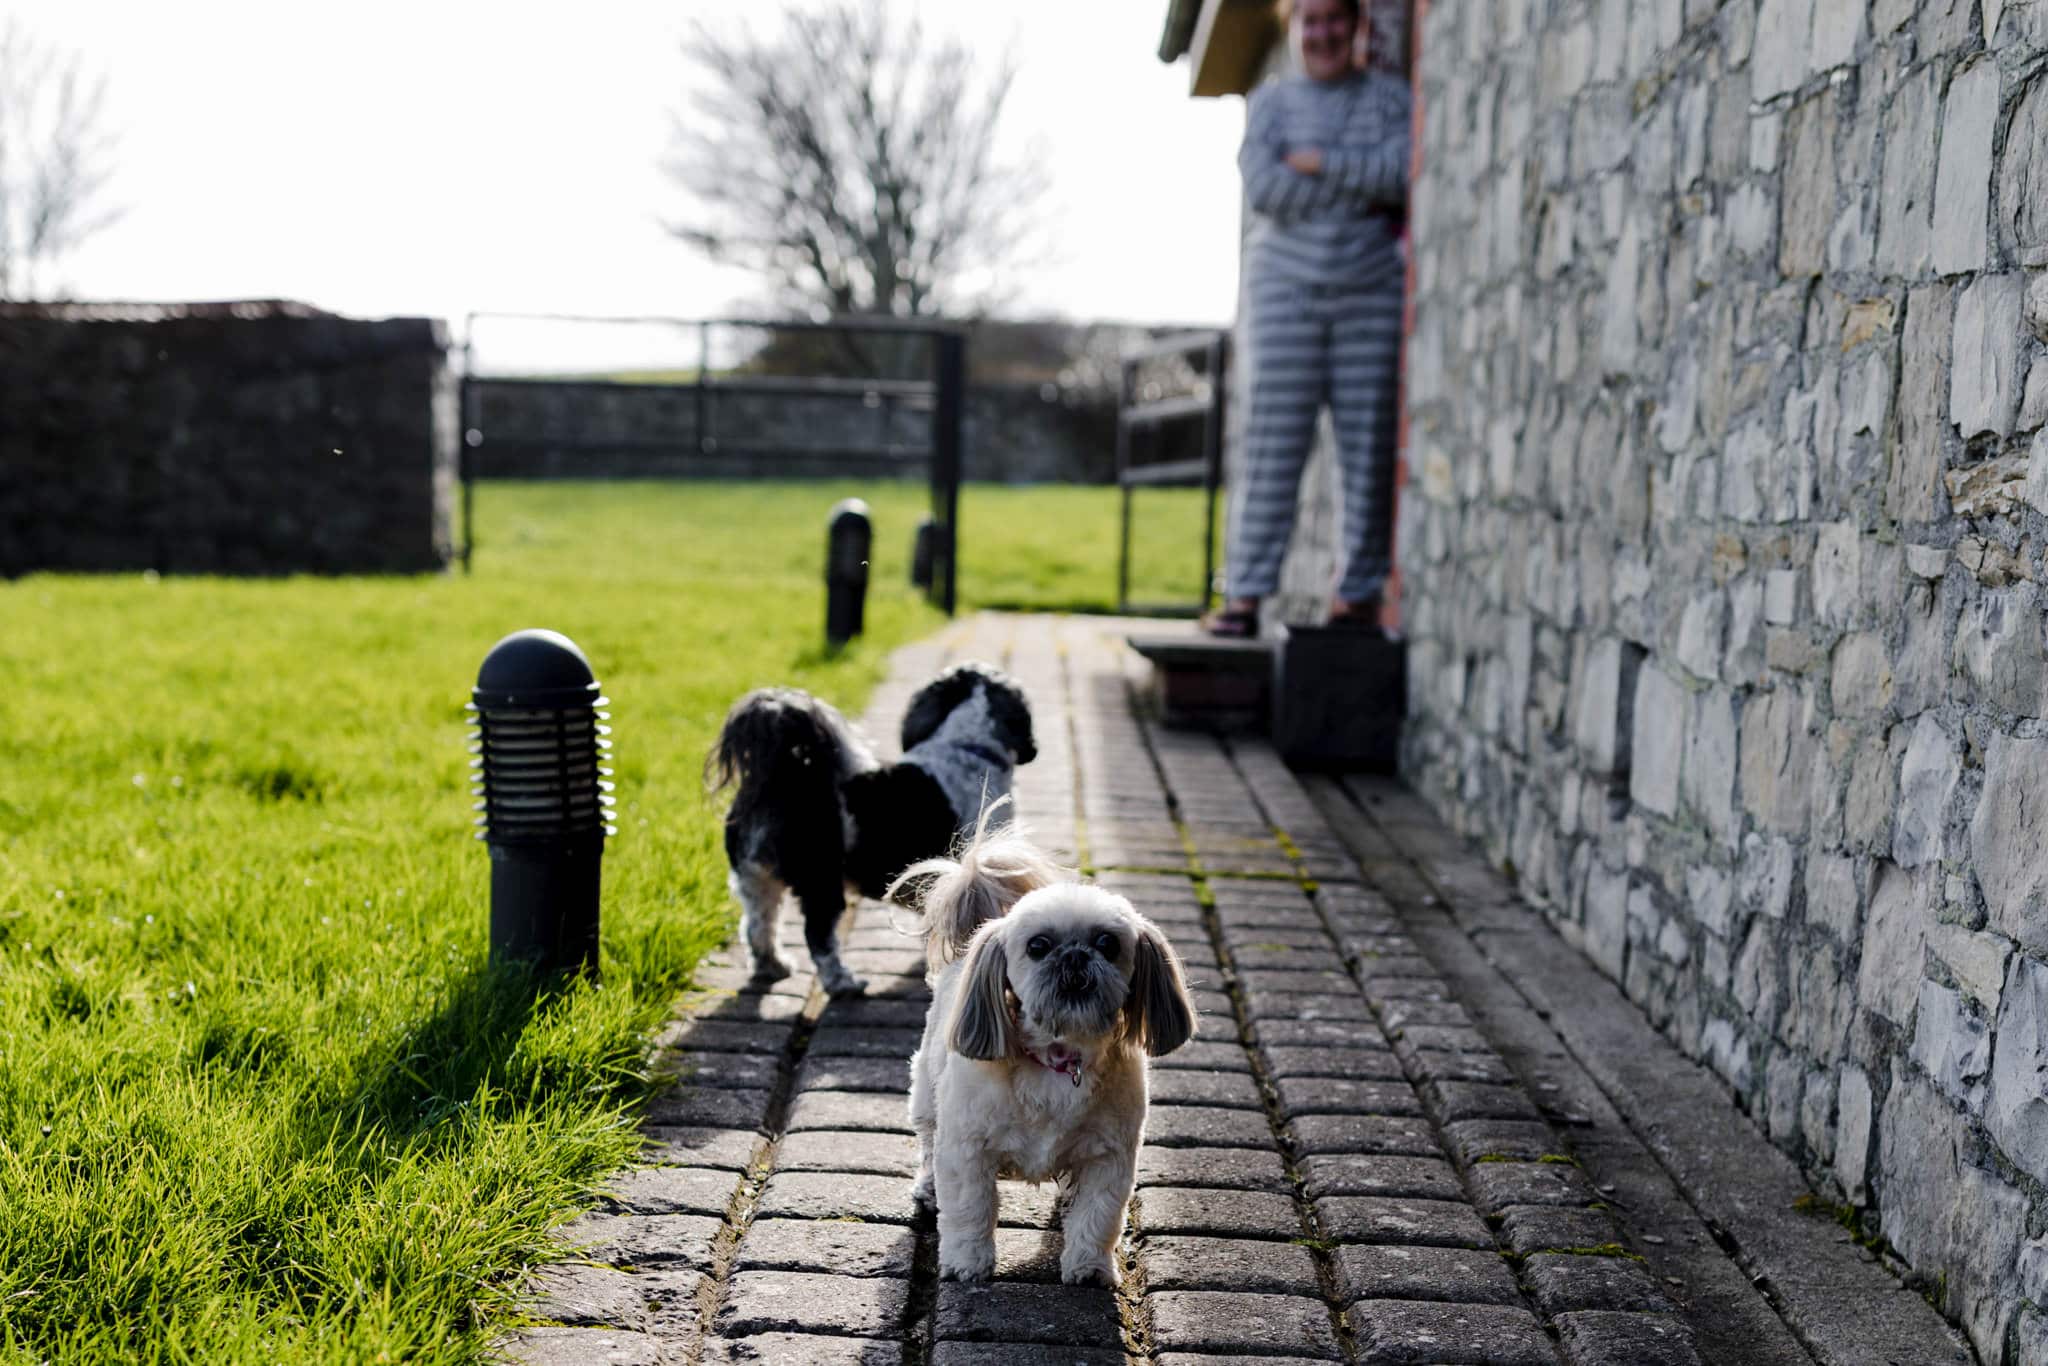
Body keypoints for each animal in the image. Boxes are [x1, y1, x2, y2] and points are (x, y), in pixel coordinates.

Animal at [704, 663, 1032, 995]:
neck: (966, 748)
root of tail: (779, 780)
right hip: (821, 880)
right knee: (819, 937)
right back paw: (842, 982)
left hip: (754, 878)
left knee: (758, 926)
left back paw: (771, 966)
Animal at [897, 819, 1196, 1286]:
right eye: (1037, 946)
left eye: (1108, 944)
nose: (1074, 956)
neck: (1059, 1057)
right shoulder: (967, 1151)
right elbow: (970, 1211)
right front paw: (967, 1264)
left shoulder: (1109, 1159)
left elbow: (1097, 1217)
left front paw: (1089, 1268)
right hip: (928, 1093)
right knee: (929, 1142)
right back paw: (929, 1188)